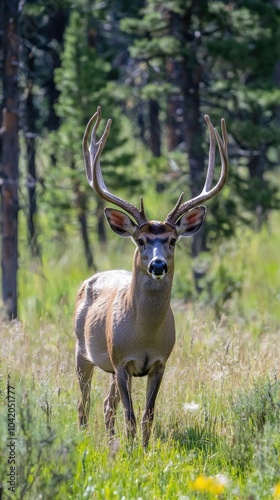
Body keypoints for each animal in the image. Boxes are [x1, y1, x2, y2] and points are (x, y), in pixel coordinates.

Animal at [75, 106, 230, 450]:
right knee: (83, 403)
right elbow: (131, 417)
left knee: (106, 406)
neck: (144, 333)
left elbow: (147, 416)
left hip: (109, 367)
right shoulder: (121, 361)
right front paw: (132, 453)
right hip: (82, 351)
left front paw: (144, 452)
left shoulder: (159, 363)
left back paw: (110, 443)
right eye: (141, 240)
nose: (158, 265)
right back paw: (84, 441)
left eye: (172, 240)